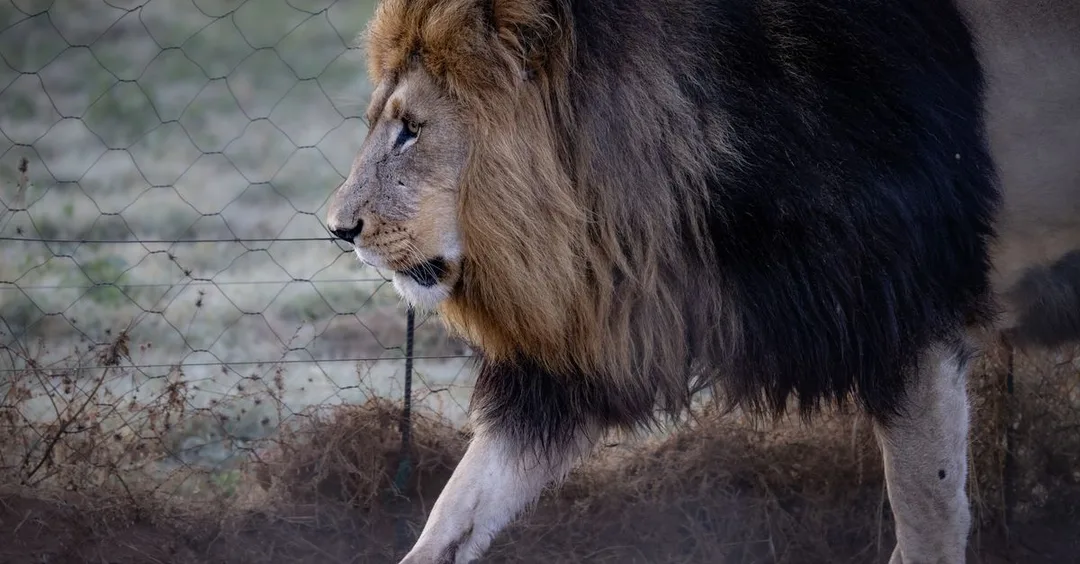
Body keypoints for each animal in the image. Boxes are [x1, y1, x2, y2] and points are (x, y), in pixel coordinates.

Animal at [324, 0, 1080, 562]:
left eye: (410, 130)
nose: (339, 228)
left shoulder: (911, 320)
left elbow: (927, 517)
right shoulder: (585, 356)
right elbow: (460, 507)